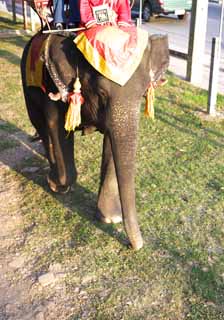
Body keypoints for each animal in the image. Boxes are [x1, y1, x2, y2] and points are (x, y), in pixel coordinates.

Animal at [20, 30, 168, 250]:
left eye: (143, 93)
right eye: (101, 93)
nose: (134, 246)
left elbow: (112, 141)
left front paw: (110, 218)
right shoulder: (52, 85)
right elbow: (57, 126)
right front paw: (59, 186)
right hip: (28, 84)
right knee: (42, 127)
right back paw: (53, 178)